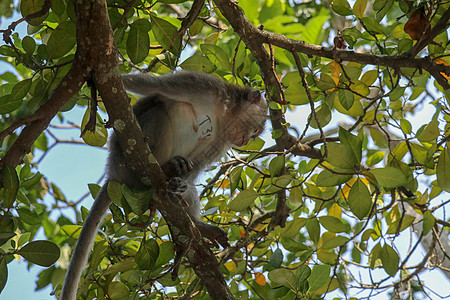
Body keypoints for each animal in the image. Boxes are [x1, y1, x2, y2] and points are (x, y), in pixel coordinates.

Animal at [58, 71, 266, 300]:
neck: (223, 113)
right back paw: (164, 167)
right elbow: (155, 86)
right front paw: (95, 79)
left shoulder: (223, 137)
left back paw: (194, 219)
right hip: (125, 156)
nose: (247, 141)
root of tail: (113, 172)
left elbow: (197, 165)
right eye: (256, 130)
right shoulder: (204, 86)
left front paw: (182, 183)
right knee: (163, 113)